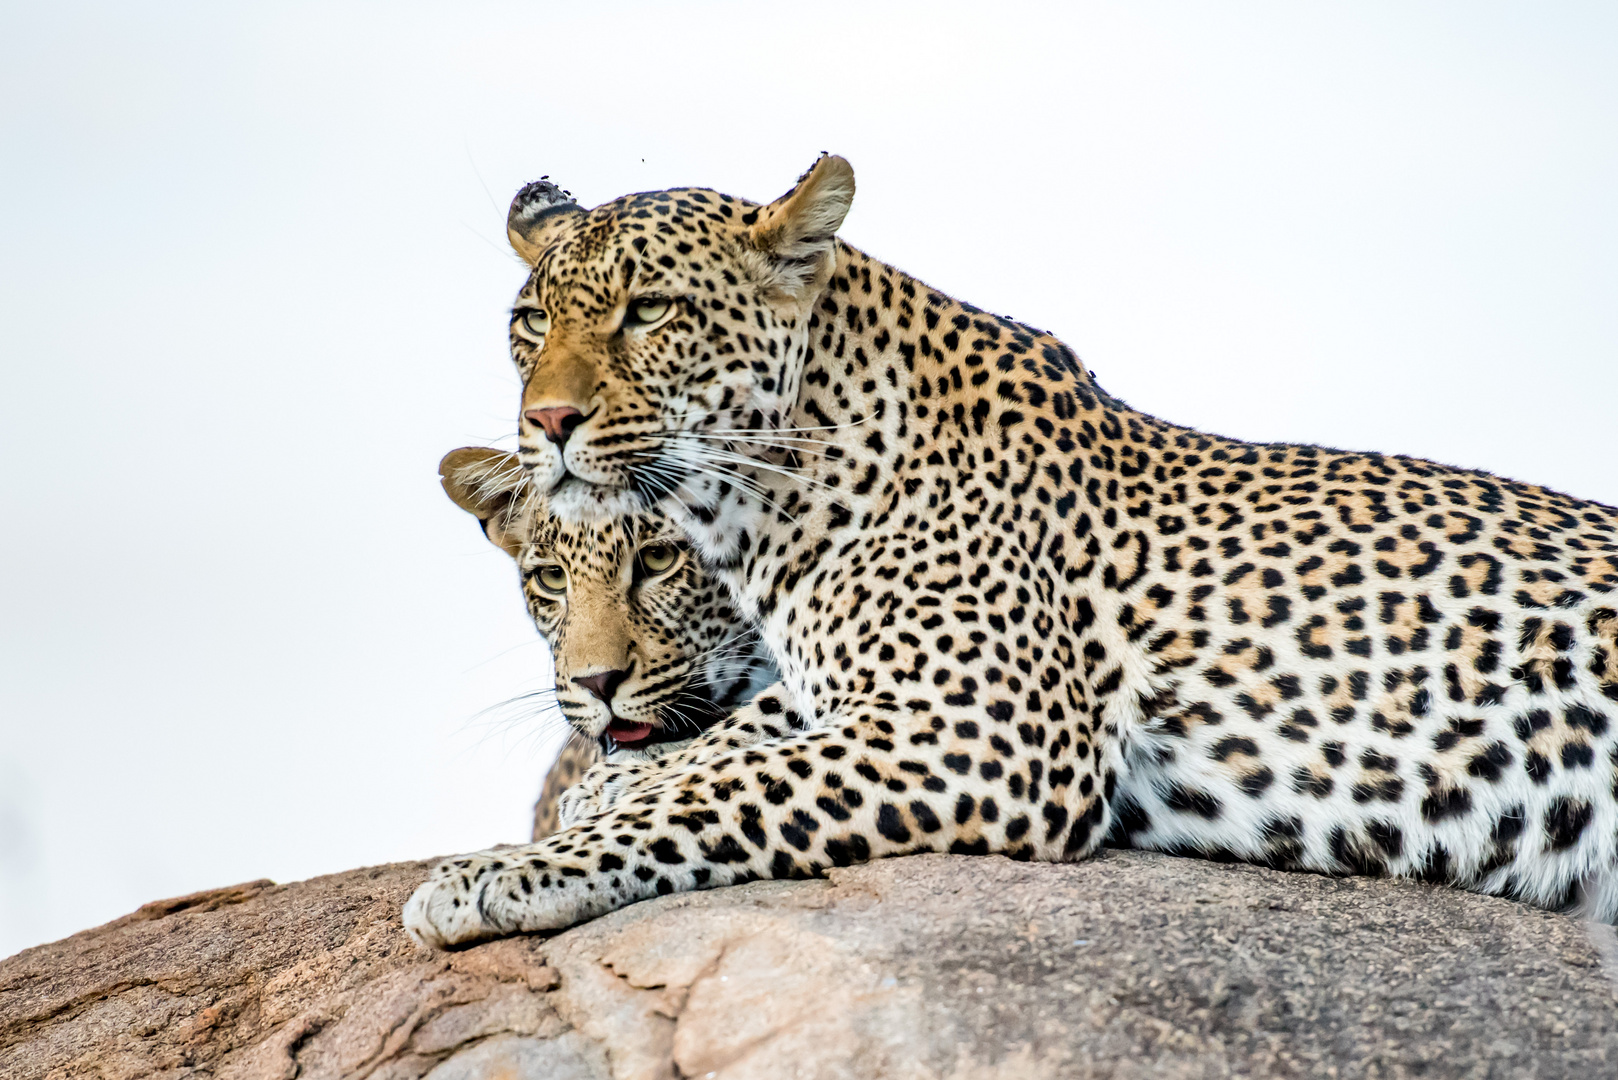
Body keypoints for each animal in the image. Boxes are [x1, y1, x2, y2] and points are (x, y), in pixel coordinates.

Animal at [401, 158, 1618, 945]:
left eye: (649, 312)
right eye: (528, 324)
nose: (546, 422)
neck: (766, 514)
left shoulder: (989, 734)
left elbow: (727, 789)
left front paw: (494, 873)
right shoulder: (858, 691)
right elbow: (731, 740)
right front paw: (603, 781)